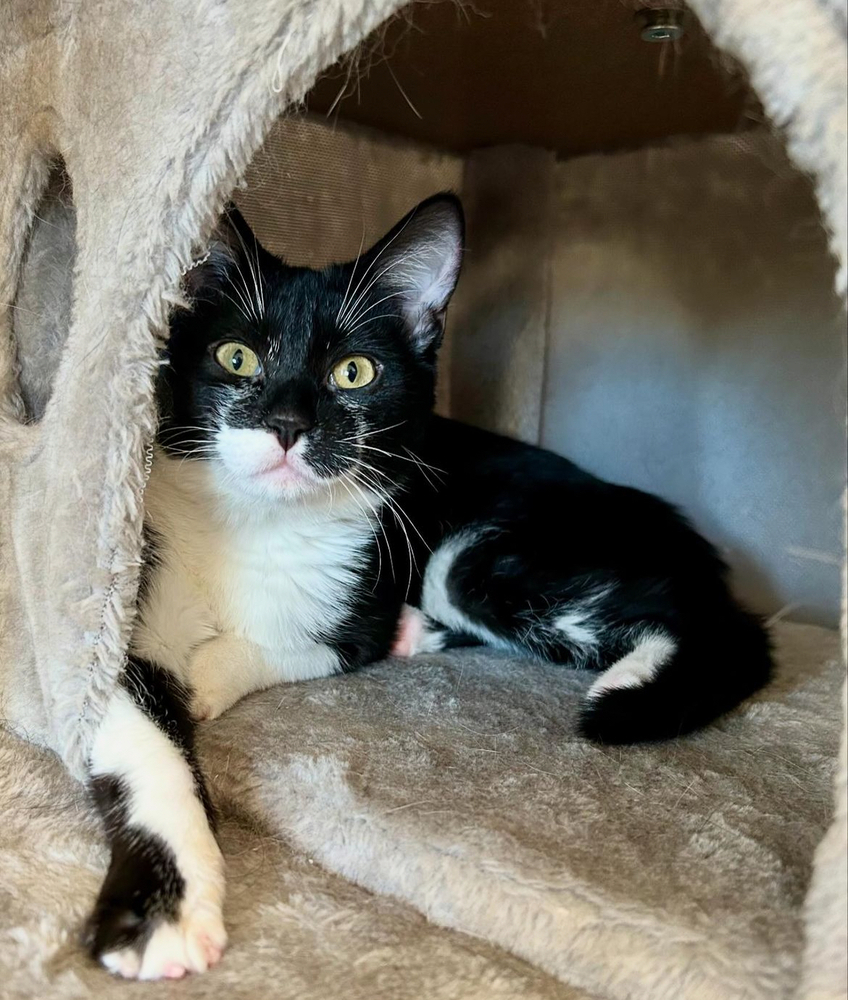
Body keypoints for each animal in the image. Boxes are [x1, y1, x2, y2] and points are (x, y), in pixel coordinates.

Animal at [83, 193, 772, 976]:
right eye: (236, 357)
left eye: (354, 372)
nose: (288, 425)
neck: (258, 522)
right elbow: (139, 734)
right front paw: (161, 908)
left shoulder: (367, 578)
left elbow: (318, 642)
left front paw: (206, 678)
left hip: (489, 556)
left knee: (709, 625)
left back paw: (625, 677)